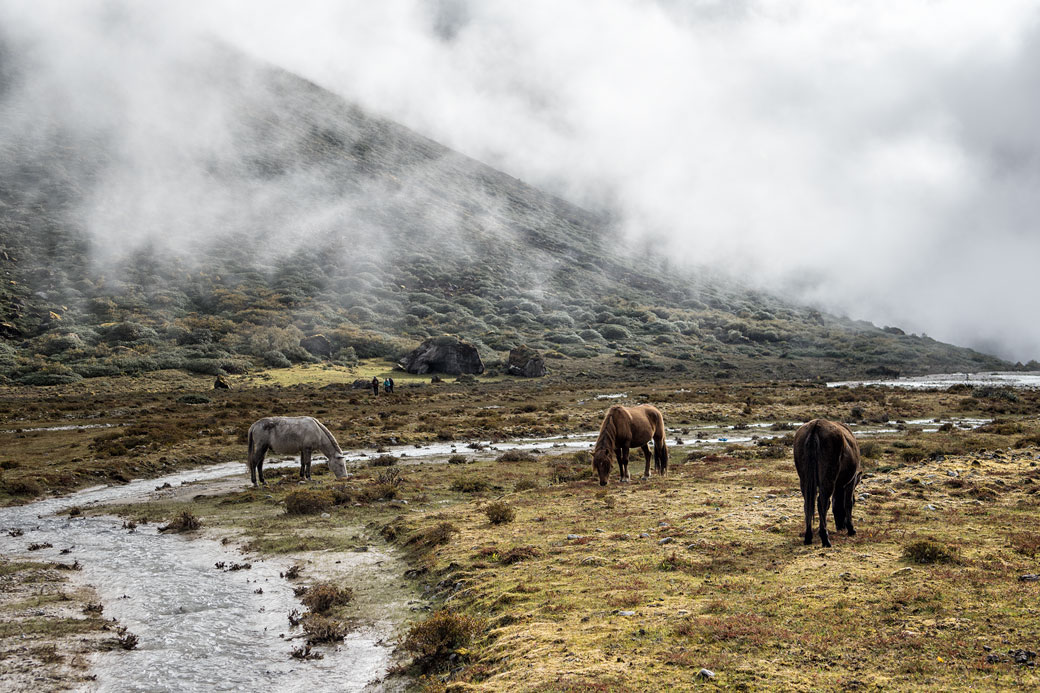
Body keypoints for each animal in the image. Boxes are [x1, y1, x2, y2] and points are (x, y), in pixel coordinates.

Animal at [794, 416, 861, 545]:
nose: (840, 527)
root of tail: (815, 426)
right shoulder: (850, 482)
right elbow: (848, 503)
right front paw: (851, 529)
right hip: (828, 479)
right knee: (822, 503)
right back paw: (825, 537)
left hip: (804, 480)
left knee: (808, 504)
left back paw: (808, 536)